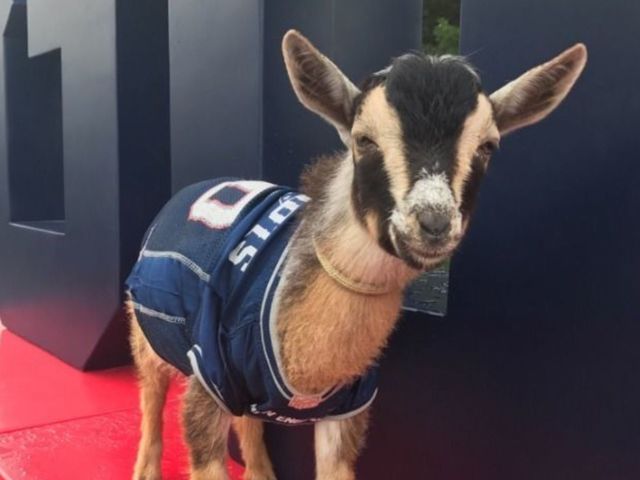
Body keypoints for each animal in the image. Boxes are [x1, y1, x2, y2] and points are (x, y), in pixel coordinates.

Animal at [126, 30, 587, 480]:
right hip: (146, 329)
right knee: (150, 392)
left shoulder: (349, 406)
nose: (433, 223)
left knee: (249, 423)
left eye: (488, 146)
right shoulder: (209, 380)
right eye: (364, 140)